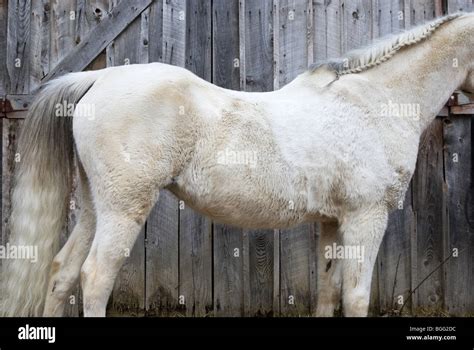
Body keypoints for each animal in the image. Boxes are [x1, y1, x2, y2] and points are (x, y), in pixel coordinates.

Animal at [2, 11, 474, 318]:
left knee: (62, 272)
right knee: (96, 276)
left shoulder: (332, 221)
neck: (373, 102)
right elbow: (356, 298)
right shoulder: (366, 217)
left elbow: (328, 292)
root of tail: (98, 77)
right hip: (124, 208)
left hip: (94, 206)